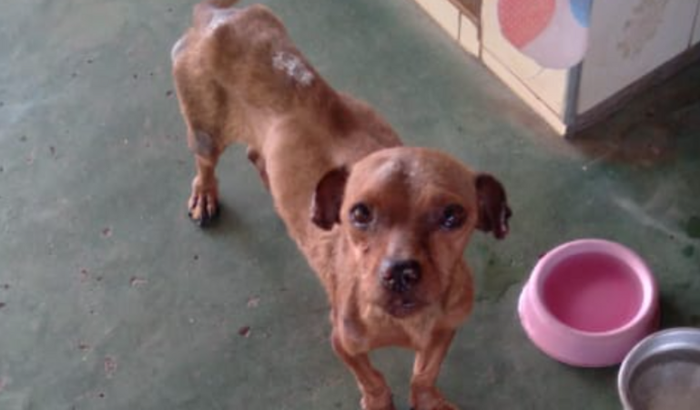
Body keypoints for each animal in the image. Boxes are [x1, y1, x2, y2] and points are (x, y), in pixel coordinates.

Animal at [171, 1, 511, 409]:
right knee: (205, 164)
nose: (400, 273)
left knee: (257, 156)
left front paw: (428, 399)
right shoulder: (343, 343)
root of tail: (219, 13)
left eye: (452, 216)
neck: (404, 324)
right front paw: (379, 400)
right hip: (205, 131)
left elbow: (425, 373)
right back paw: (205, 195)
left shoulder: (446, 329)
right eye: (359, 213)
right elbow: (372, 379)